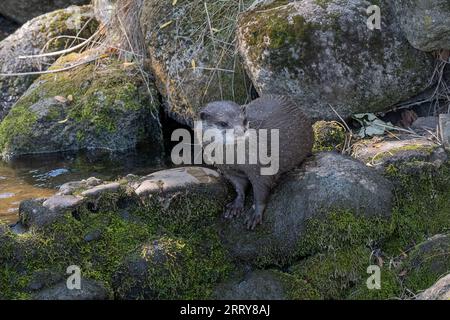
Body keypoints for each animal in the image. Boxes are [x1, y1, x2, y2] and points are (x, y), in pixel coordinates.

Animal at [200, 94, 312, 229]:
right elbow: (239, 187)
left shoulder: (260, 167)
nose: (240, 132)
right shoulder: (228, 170)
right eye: (222, 123)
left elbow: (261, 190)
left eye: (244, 120)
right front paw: (235, 205)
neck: (234, 159)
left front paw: (255, 214)